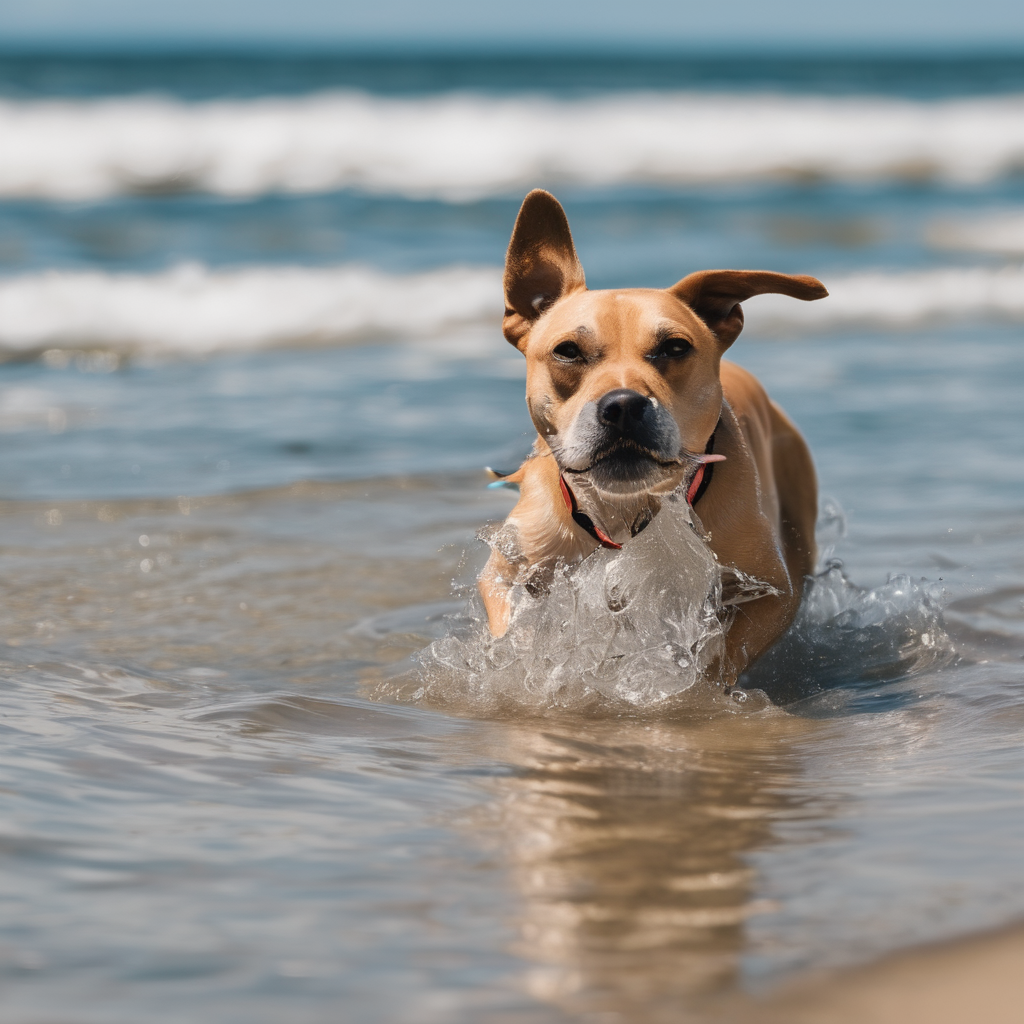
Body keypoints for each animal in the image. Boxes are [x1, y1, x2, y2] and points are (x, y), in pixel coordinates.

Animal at [475, 191, 827, 679]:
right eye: (568, 351)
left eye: (675, 347)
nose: (624, 406)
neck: (622, 514)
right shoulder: (509, 567)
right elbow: (512, 625)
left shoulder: (771, 592)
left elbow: (721, 654)